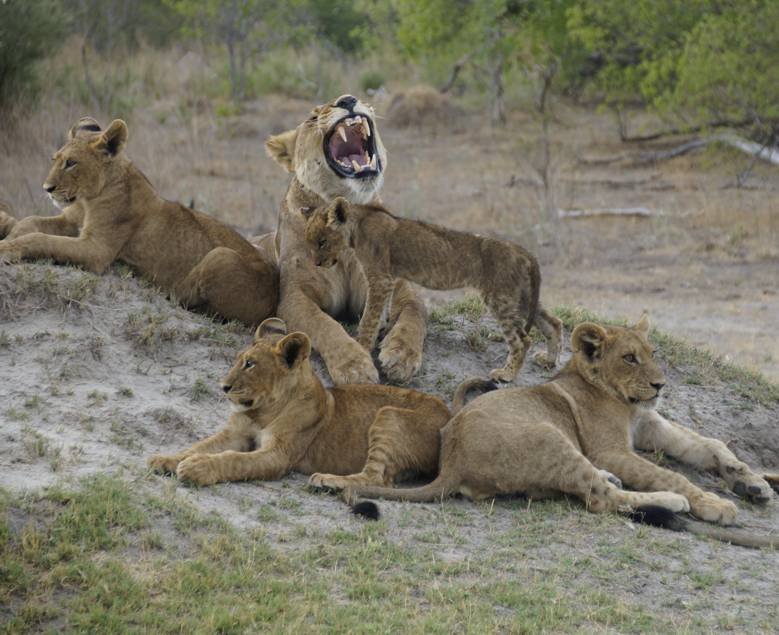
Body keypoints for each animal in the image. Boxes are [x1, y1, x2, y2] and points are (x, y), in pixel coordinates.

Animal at [0, 117, 278, 328]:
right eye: (55, 159)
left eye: (71, 163)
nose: (46, 189)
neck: (89, 198)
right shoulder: (68, 219)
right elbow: (31, 222)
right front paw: (11, 236)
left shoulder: (97, 250)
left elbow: (42, 238)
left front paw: (7, 248)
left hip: (220, 255)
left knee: (182, 297)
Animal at [145, 318, 464, 492]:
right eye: (239, 360)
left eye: (250, 364)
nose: (223, 387)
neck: (263, 410)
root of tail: (449, 414)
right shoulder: (234, 433)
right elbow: (200, 445)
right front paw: (167, 459)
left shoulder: (278, 455)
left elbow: (233, 459)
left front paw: (197, 468)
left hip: (388, 415)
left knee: (378, 478)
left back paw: (327, 481)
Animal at [262, 93, 430, 382]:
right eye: (312, 117)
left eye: (355, 97)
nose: (348, 100)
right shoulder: (293, 296)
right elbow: (324, 324)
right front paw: (354, 365)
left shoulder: (399, 287)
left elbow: (414, 313)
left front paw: (401, 355)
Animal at [304, 196, 568, 380]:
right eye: (310, 243)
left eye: (322, 242)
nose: (316, 263)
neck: (357, 225)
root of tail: (523, 251)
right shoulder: (388, 279)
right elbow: (382, 313)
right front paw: (381, 332)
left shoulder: (380, 278)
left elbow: (369, 316)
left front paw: (362, 344)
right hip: (520, 297)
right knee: (554, 323)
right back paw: (548, 360)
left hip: (500, 297)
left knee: (522, 340)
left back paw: (506, 375)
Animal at [348, 316, 779, 548]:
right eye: (629, 358)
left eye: (653, 354)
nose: (660, 385)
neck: (623, 400)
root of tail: (450, 463)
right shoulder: (608, 448)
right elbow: (669, 473)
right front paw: (713, 503)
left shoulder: (650, 425)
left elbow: (708, 444)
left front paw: (752, 483)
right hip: (550, 437)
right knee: (602, 498)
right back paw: (672, 503)